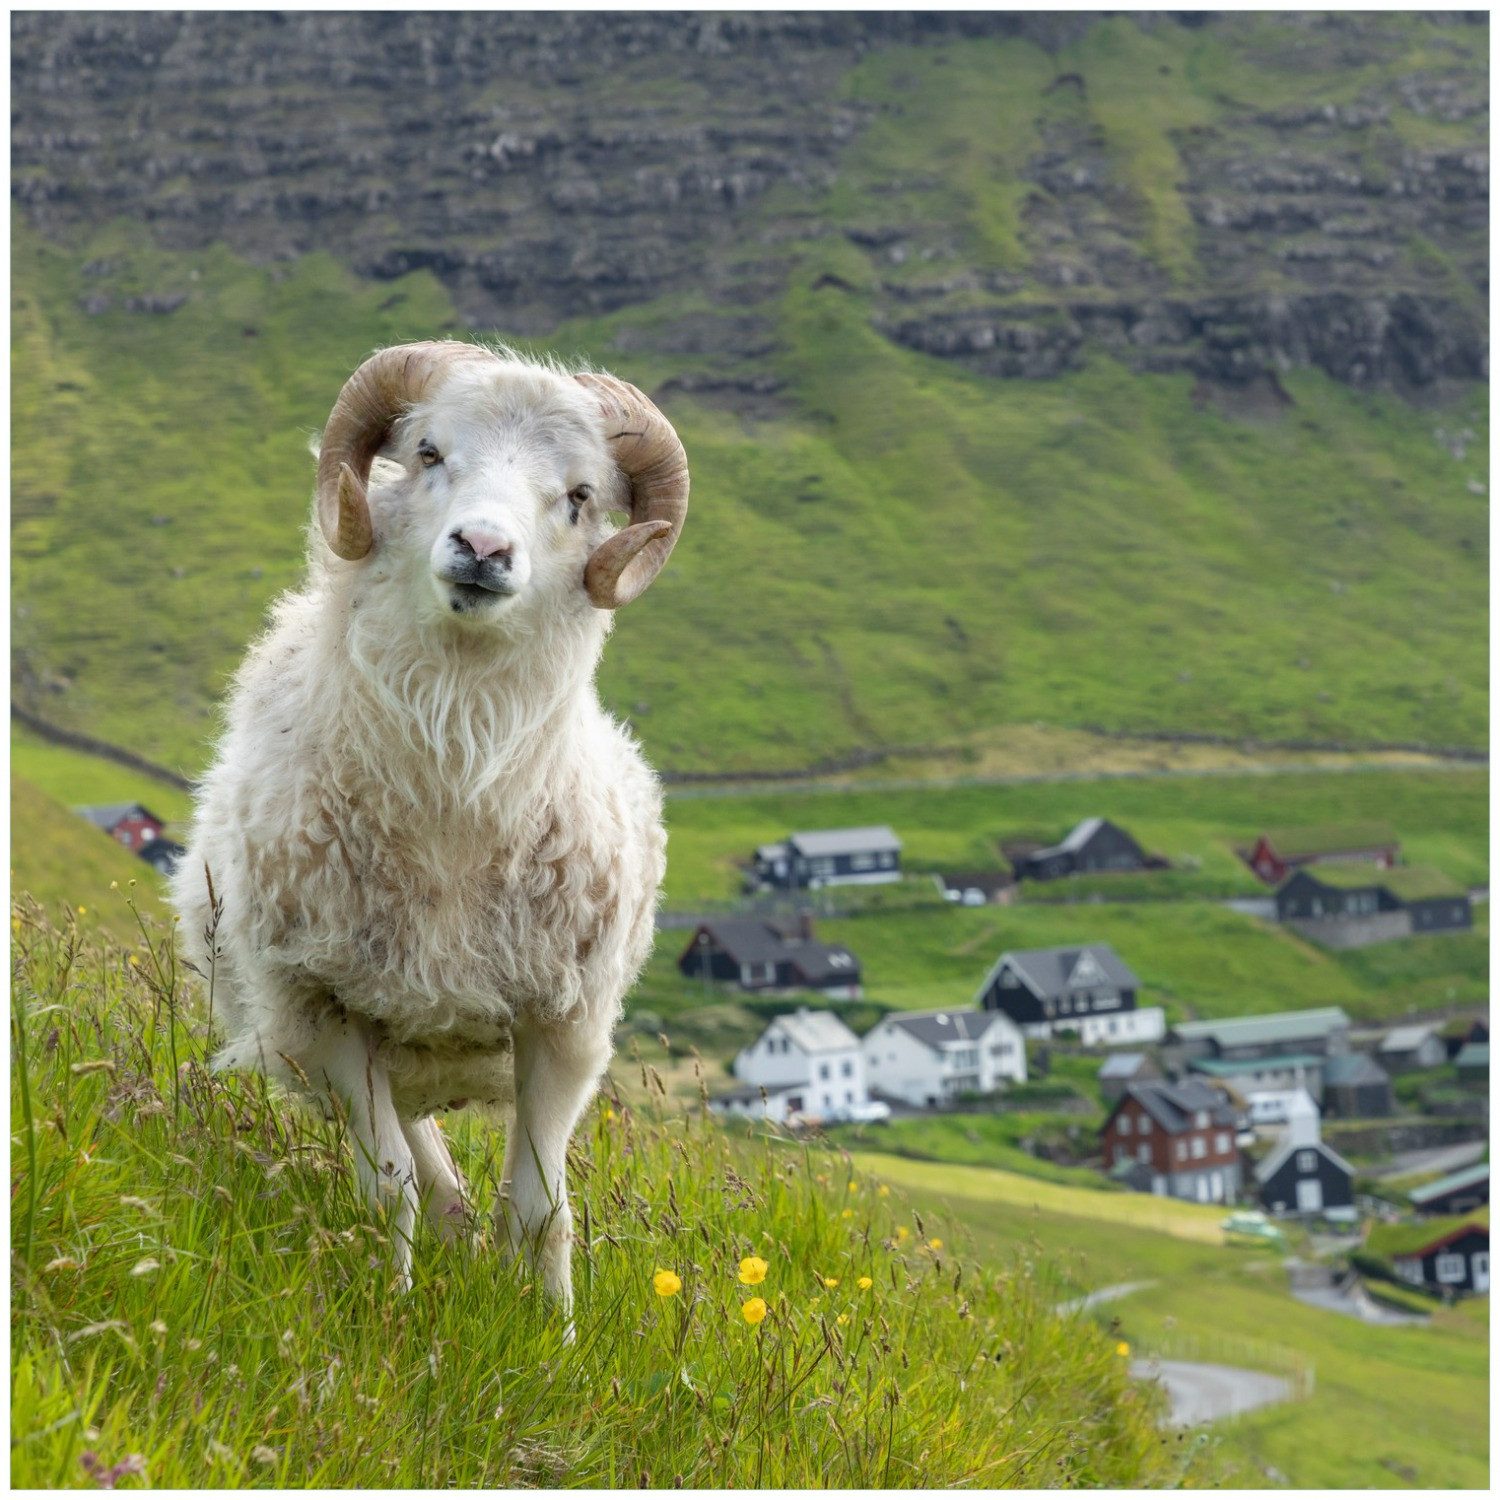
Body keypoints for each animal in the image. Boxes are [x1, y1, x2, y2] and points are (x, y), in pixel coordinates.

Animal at [171, 340, 688, 1308]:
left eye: (579, 496)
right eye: (430, 452)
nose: (482, 548)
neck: (454, 805)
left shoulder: (565, 1027)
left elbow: (542, 1210)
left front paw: (552, 1332)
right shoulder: (325, 1011)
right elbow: (388, 1191)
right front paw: (388, 1312)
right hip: (346, 1051)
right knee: (431, 1182)